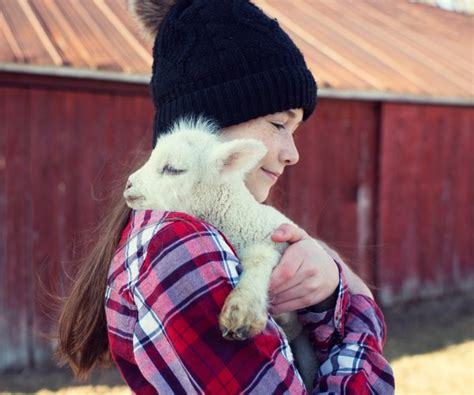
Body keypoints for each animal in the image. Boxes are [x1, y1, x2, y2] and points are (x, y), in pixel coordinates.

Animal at [124, 115, 320, 390]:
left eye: (173, 169)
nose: (129, 184)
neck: (238, 220)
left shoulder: (277, 243)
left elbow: (260, 258)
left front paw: (242, 311)